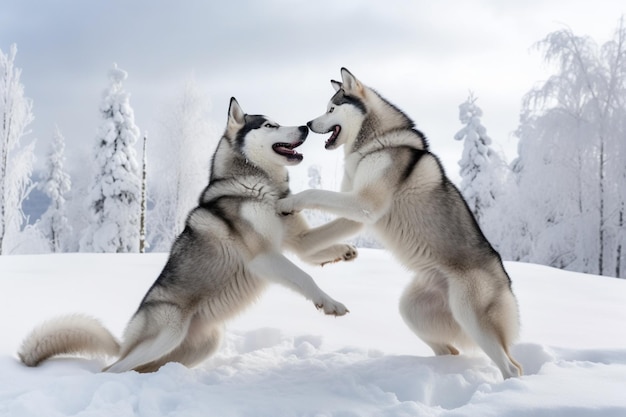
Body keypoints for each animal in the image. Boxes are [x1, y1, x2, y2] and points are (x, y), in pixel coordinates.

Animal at [18, 98, 356, 374]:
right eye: (270, 125)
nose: (304, 126)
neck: (257, 187)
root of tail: (126, 340)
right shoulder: (263, 257)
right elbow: (304, 277)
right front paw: (330, 304)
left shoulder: (298, 241)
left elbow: (326, 238)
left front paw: (347, 247)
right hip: (169, 330)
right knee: (111, 369)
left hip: (200, 345)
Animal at [278, 70, 520, 378]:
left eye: (331, 108)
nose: (308, 124)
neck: (377, 142)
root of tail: (506, 280)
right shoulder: (357, 214)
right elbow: (323, 230)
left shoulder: (364, 204)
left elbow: (314, 193)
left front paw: (288, 203)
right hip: (412, 310)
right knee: (450, 348)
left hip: (470, 314)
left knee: (512, 367)